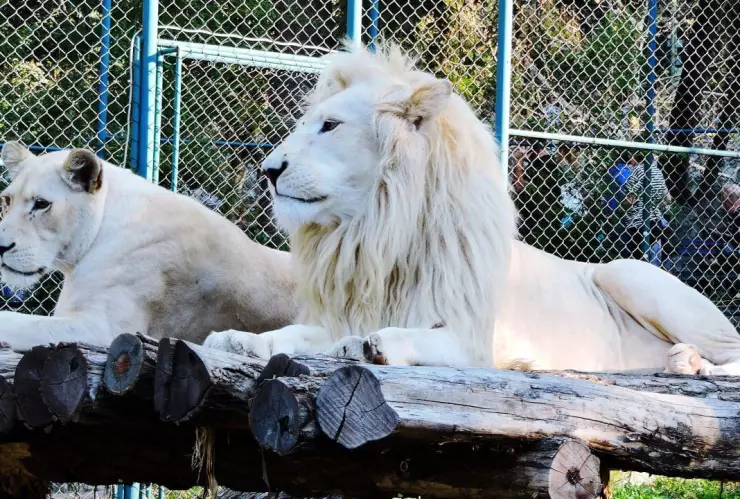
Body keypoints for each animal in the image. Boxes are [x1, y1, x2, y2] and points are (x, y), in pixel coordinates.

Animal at [205, 42, 740, 376]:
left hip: (627, 272)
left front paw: (375, 345)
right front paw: (237, 340)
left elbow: (415, 337)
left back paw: (691, 363)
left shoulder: (477, 340)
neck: (377, 234)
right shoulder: (347, 312)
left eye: (330, 125)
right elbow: (292, 334)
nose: (267, 170)